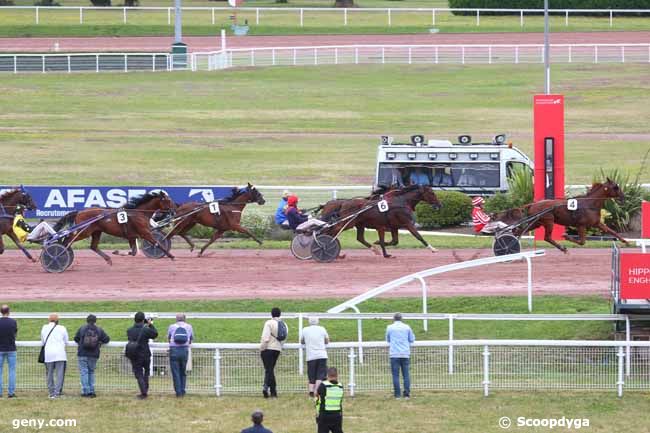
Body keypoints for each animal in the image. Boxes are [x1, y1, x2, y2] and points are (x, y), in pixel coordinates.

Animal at [494, 177, 624, 253]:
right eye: (616, 187)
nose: (623, 196)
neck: (589, 204)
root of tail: (533, 204)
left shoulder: (596, 223)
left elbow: (611, 231)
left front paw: (625, 241)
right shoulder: (581, 225)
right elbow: (582, 241)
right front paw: (566, 236)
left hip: (536, 222)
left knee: (518, 232)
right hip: (548, 221)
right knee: (547, 237)